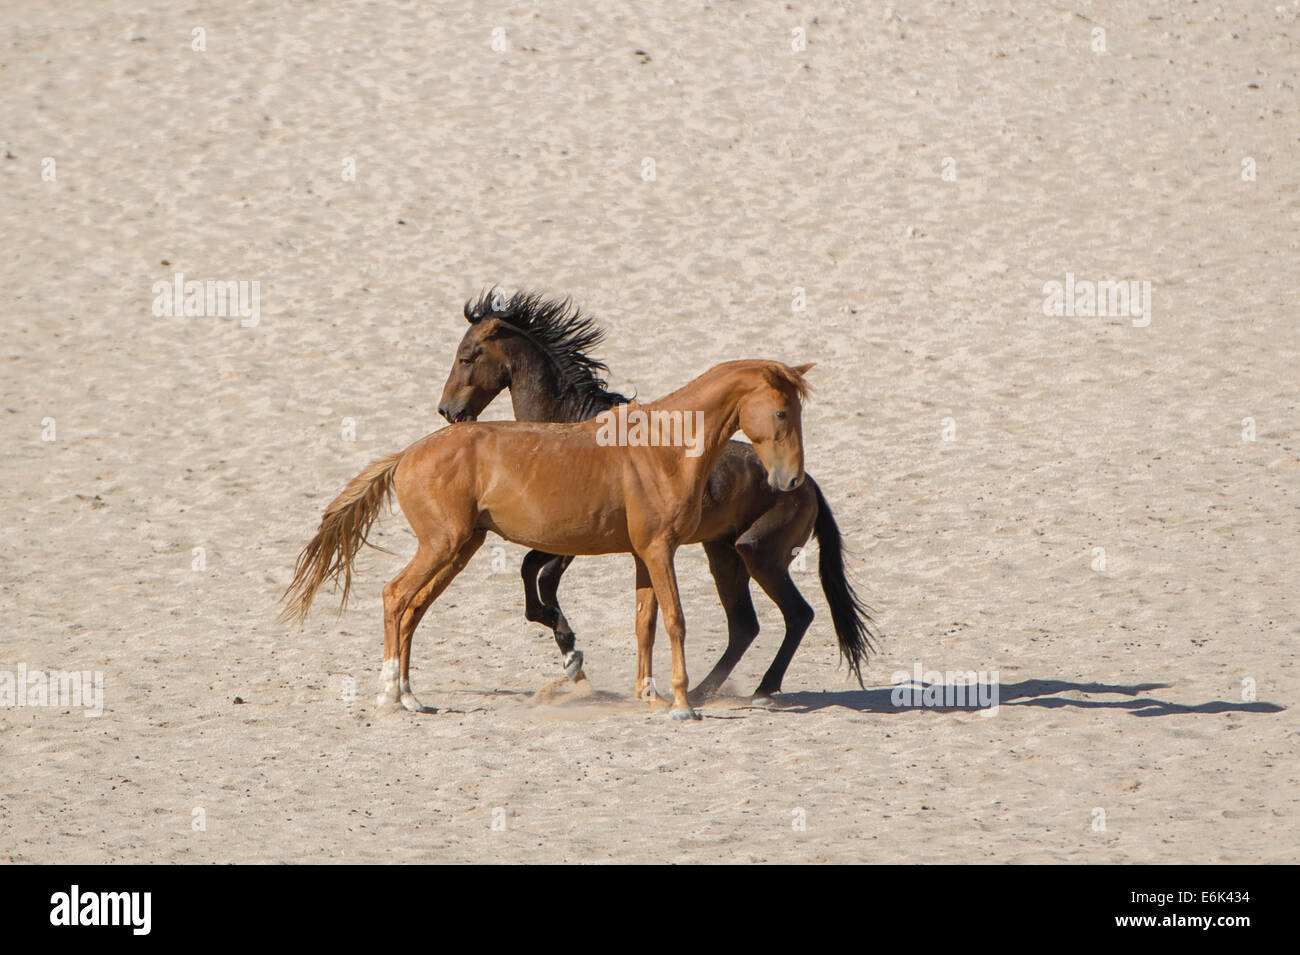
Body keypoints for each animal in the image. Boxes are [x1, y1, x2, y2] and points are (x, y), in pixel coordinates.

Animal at [281, 358, 813, 720]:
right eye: (782, 414)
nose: (788, 480)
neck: (662, 447)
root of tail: (408, 454)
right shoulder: (660, 551)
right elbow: (675, 621)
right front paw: (683, 704)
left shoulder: (644, 555)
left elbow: (644, 623)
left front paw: (650, 696)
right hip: (442, 547)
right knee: (395, 597)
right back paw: (391, 694)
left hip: (458, 551)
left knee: (412, 610)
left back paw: (412, 697)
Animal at [437, 290, 879, 701]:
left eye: (466, 357)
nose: (446, 410)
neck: (567, 429)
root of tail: (807, 484)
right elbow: (533, 580)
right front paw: (569, 651)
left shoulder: (571, 542)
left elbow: (538, 578)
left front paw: (571, 653)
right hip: (723, 555)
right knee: (745, 626)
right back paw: (702, 690)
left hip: (759, 554)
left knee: (797, 615)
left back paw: (761, 687)